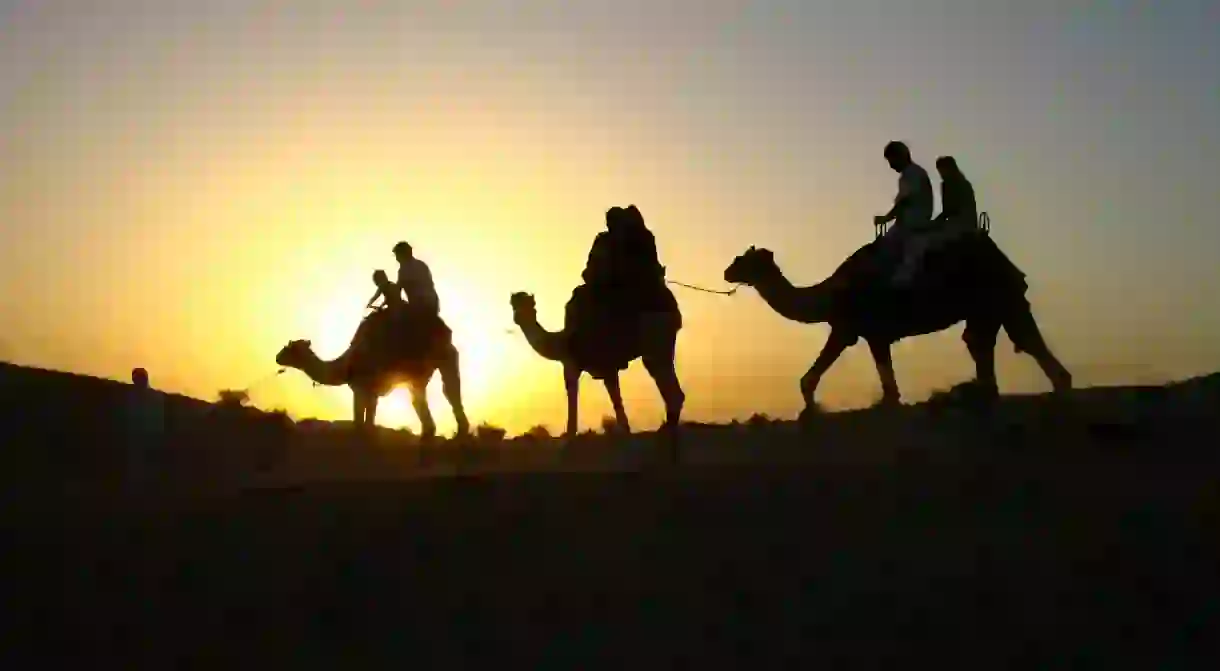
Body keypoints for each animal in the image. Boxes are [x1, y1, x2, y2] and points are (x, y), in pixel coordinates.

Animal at [274, 309, 468, 441]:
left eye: (289, 347)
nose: (277, 357)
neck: (346, 364)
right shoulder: (372, 392)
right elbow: (369, 422)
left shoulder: (360, 388)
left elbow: (360, 423)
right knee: (427, 395)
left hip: (441, 355)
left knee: (448, 389)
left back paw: (459, 436)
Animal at [507, 289, 688, 441]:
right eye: (514, 304)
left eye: (531, 306)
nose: (518, 317)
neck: (562, 341)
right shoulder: (607, 368)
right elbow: (615, 398)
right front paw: (625, 430)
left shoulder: (574, 364)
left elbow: (573, 393)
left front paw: (569, 434)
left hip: (655, 338)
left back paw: (667, 430)